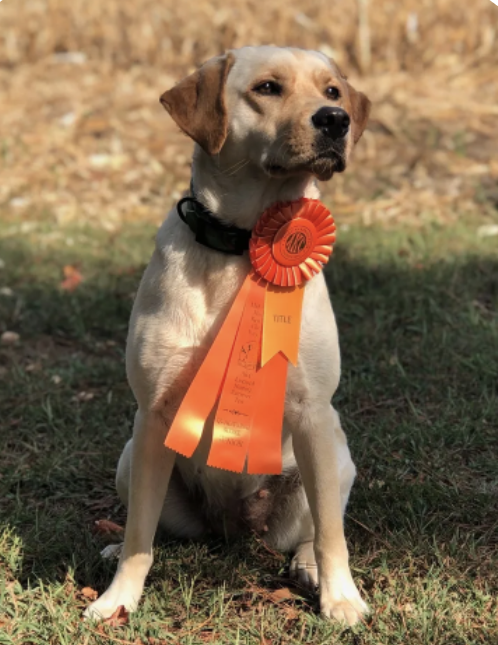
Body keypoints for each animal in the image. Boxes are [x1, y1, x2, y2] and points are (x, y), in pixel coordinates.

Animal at [85, 45, 372, 624]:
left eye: (332, 91)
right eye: (267, 88)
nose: (336, 120)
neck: (242, 246)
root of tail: (236, 528)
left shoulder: (312, 412)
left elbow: (332, 533)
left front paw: (342, 599)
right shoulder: (153, 415)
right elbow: (140, 537)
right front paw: (117, 599)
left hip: (334, 455)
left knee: (315, 528)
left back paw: (308, 566)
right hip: (131, 457)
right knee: (150, 527)